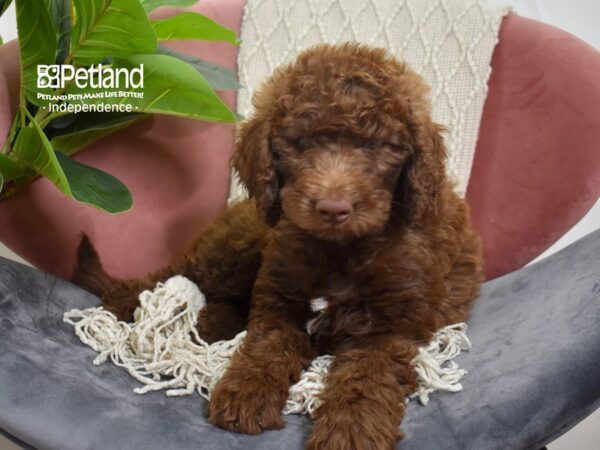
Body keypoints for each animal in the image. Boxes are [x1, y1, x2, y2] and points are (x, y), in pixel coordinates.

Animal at [75, 43, 486, 450]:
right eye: (300, 143)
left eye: (377, 146)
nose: (333, 208)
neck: (340, 250)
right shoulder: (280, 297)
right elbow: (268, 346)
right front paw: (246, 393)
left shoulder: (391, 328)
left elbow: (368, 376)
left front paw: (351, 429)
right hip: (241, 245)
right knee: (175, 277)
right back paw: (136, 304)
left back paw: (209, 321)